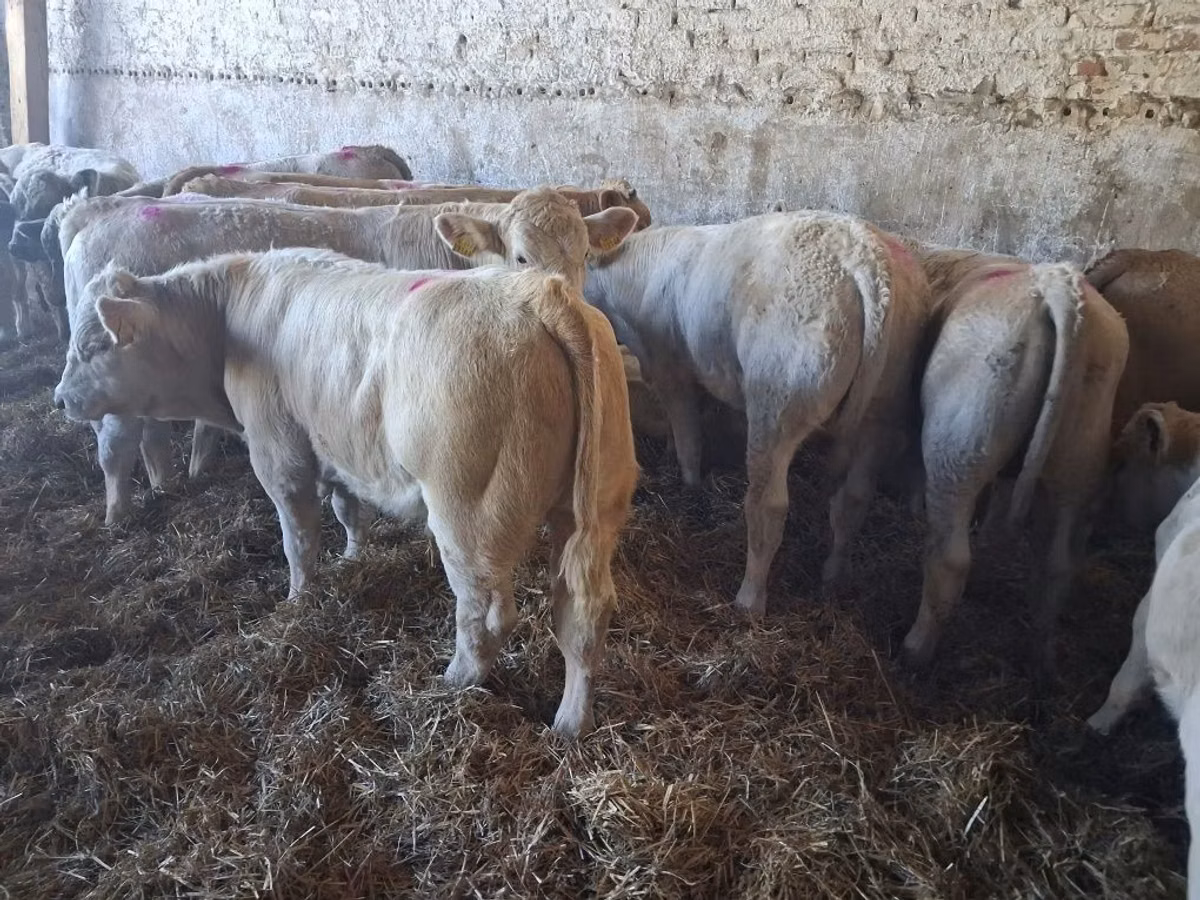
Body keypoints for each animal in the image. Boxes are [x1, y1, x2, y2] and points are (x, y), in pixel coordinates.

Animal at [53, 249, 639, 737]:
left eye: (92, 345)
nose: (59, 399)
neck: (225, 321)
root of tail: (540, 291)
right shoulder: (336, 445)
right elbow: (346, 508)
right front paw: (354, 557)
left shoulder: (278, 449)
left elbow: (298, 535)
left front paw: (298, 598)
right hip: (598, 501)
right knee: (583, 612)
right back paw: (569, 724)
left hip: (469, 511)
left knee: (486, 612)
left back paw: (452, 681)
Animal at [57, 189, 638, 527]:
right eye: (520, 256)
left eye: (586, 255)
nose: (569, 297)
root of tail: (89, 222)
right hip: (111, 379)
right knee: (115, 446)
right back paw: (117, 517)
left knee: (150, 435)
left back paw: (166, 485)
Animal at [583, 210, 929, 617]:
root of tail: (865, 259)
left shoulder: (671, 368)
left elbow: (687, 435)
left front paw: (689, 483)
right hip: (884, 406)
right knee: (855, 498)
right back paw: (834, 573)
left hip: (778, 398)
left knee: (768, 506)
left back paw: (749, 599)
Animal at [902, 246, 1128, 668]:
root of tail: (1058, 285)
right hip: (1081, 453)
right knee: (1058, 562)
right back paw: (1041, 658)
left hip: (959, 439)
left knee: (951, 557)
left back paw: (916, 648)